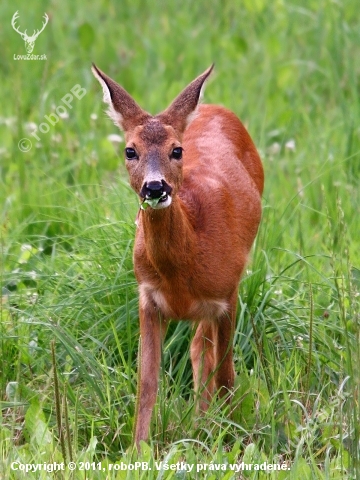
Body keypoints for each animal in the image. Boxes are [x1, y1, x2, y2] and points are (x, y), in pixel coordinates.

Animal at [91, 63, 262, 446]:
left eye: (177, 150)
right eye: (130, 151)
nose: (155, 187)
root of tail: (213, 106)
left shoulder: (226, 294)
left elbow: (226, 374)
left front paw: (231, 440)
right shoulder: (147, 298)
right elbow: (147, 382)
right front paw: (137, 449)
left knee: (206, 352)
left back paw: (207, 423)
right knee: (199, 349)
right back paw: (201, 421)